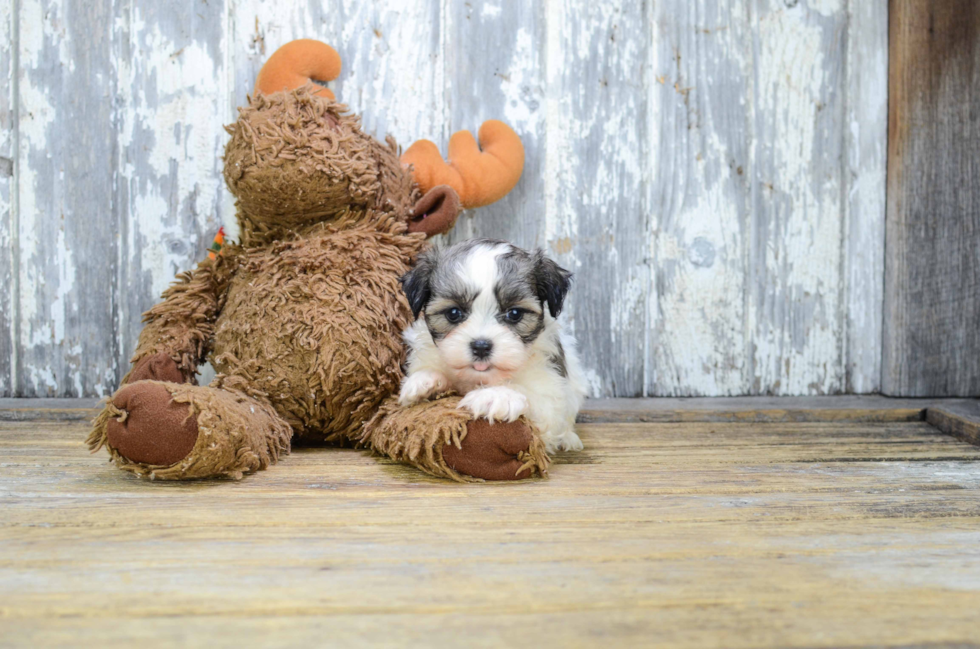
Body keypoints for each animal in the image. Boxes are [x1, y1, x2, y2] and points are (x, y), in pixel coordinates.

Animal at [396, 235, 580, 454]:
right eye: (453, 313)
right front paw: (424, 380)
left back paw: (568, 439)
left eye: (514, 313)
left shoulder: (551, 393)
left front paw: (496, 395)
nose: (481, 346)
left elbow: (531, 394)